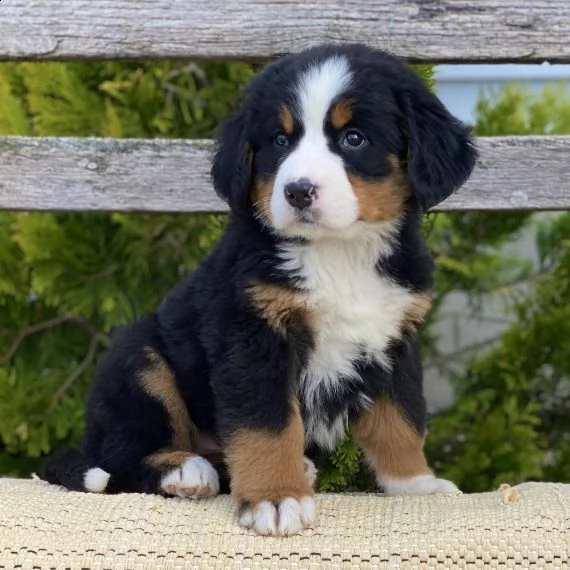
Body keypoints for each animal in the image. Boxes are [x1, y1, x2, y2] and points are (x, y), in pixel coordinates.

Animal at [44, 43, 474, 532]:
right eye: (281, 141)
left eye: (354, 139)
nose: (298, 191)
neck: (339, 253)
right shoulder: (253, 335)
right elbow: (267, 425)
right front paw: (276, 497)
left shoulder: (395, 339)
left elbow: (400, 420)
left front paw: (417, 485)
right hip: (140, 361)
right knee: (120, 458)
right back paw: (185, 470)